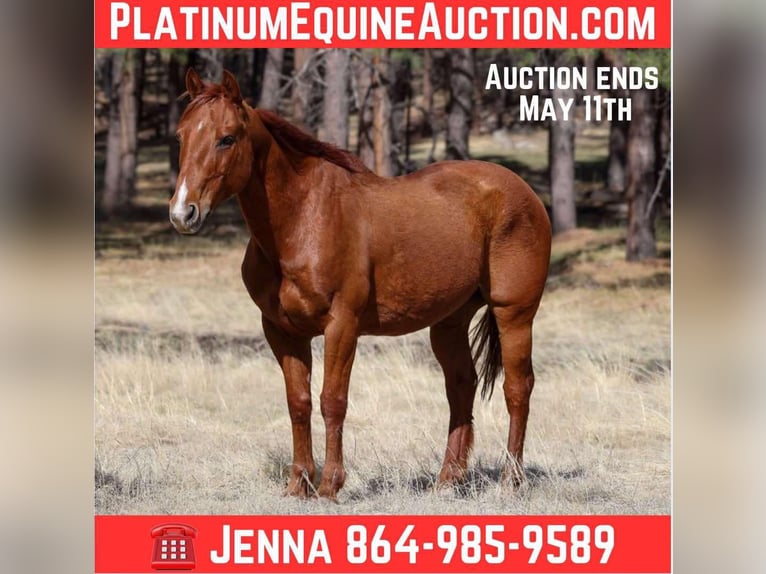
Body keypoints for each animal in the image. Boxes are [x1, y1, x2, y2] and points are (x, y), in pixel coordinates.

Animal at [169, 68, 551, 500]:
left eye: (227, 137)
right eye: (181, 136)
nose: (183, 213)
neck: (303, 220)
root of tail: (523, 191)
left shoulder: (341, 325)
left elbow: (332, 400)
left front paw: (330, 485)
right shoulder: (282, 331)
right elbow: (298, 402)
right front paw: (298, 484)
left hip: (514, 314)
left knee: (517, 388)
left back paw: (511, 481)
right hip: (449, 321)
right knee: (461, 386)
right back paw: (447, 480)